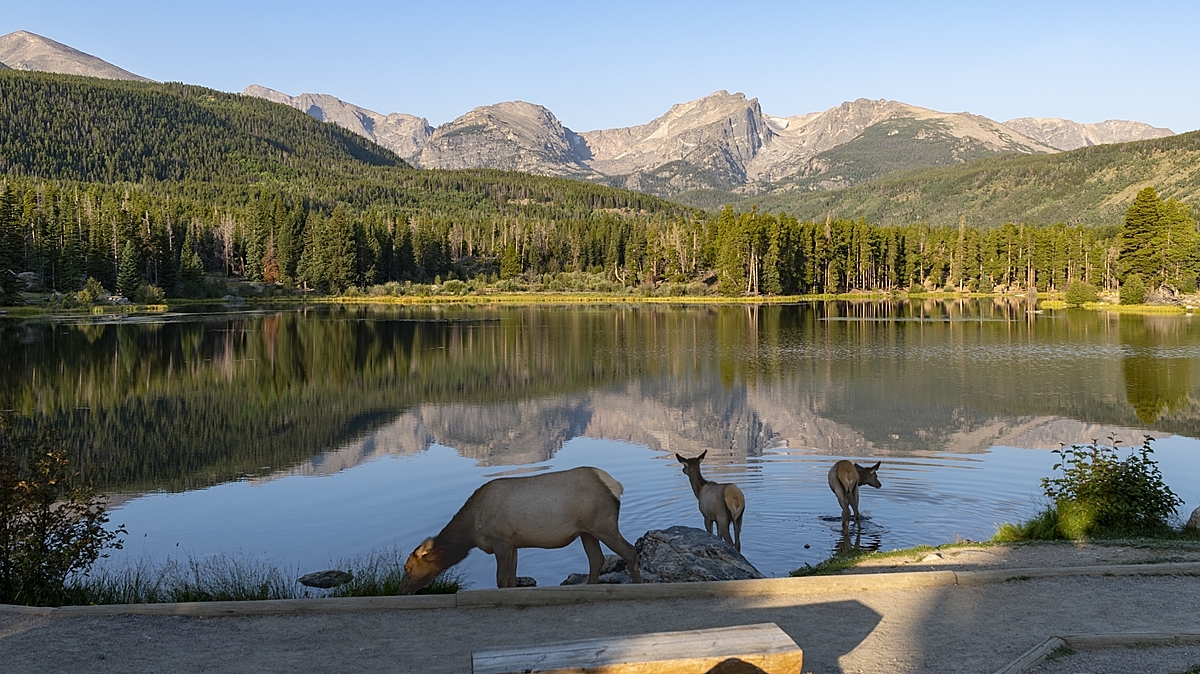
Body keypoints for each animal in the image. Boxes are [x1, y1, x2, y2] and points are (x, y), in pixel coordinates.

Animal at [398, 465, 643, 590]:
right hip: (587, 531)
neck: (472, 531)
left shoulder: (501, 540)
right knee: (596, 560)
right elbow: (511, 579)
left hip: (603, 524)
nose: (401, 590)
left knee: (630, 551)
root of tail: (617, 486)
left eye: (408, 567)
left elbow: (501, 580)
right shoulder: (513, 543)